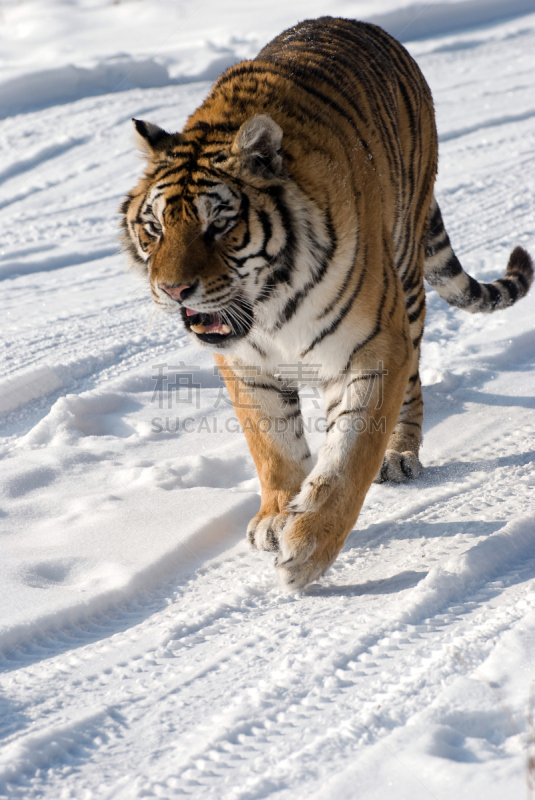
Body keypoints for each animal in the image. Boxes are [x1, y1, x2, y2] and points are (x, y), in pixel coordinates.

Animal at [119, 17, 532, 588]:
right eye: (155, 229)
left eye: (218, 225)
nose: (173, 290)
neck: (270, 306)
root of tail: (354, 22)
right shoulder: (246, 364)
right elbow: (272, 443)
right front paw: (276, 517)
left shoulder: (373, 349)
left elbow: (350, 455)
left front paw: (308, 547)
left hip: (405, 284)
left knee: (412, 384)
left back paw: (401, 455)